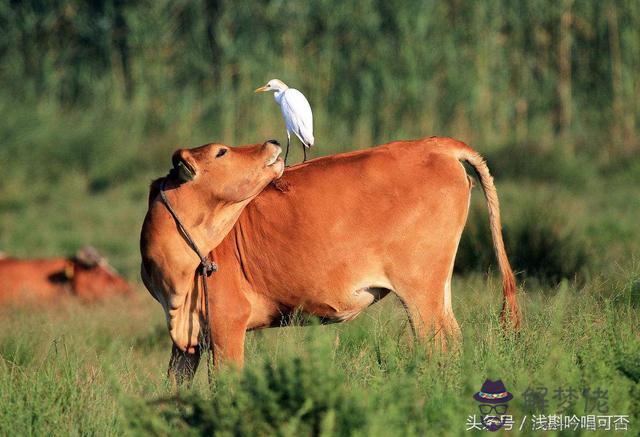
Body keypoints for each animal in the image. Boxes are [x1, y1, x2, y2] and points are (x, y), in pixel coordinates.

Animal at [140, 135, 520, 382]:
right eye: (220, 152)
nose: (272, 141)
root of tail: (434, 144)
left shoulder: (227, 323)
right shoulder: (186, 341)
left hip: (420, 291)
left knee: (438, 344)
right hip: (438, 289)